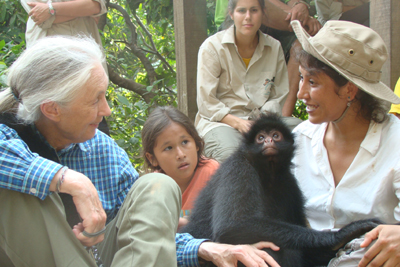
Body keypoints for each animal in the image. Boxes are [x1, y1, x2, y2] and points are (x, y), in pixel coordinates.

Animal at [180, 113, 382, 267]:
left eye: (275, 135)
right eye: (261, 138)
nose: (269, 140)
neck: (266, 173)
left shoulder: (288, 182)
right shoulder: (239, 168)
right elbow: (232, 226)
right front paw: (342, 234)